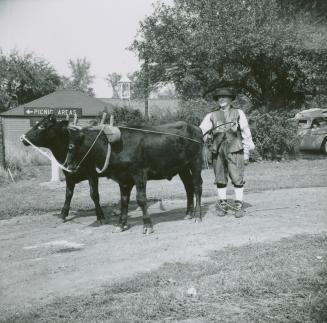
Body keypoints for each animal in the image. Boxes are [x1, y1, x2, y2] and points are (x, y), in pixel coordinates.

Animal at [63, 120, 202, 234]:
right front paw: (120, 225)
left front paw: (147, 226)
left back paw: (197, 216)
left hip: (195, 163)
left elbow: (141, 199)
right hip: (182, 168)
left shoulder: (139, 173)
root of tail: (195, 127)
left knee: (197, 186)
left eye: (70, 146)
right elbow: (124, 201)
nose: (67, 165)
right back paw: (188, 213)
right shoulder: (124, 179)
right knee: (188, 187)